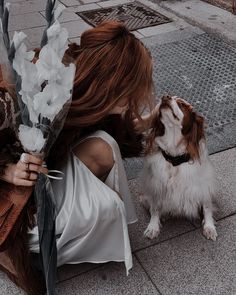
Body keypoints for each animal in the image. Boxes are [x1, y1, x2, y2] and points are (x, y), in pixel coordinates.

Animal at [140, 96, 218, 242]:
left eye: (181, 104)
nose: (165, 96)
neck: (174, 158)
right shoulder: (156, 185)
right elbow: (155, 208)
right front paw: (153, 227)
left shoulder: (203, 185)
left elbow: (207, 207)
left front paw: (209, 227)